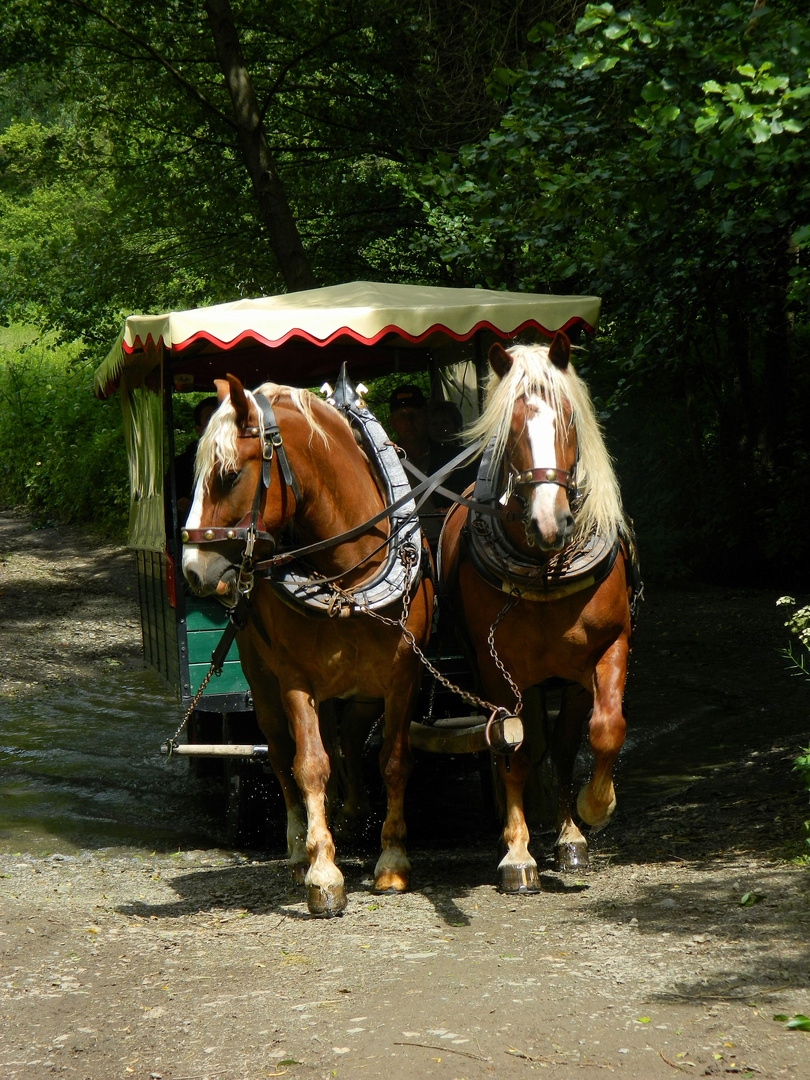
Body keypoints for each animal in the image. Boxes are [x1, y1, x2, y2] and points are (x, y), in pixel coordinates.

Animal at [181, 375, 434, 915]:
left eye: (229, 474)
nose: (192, 569)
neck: (349, 578)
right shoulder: (297, 680)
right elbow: (309, 766)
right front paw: (323, 872)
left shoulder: (402, 673)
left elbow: (394, 760)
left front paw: (392, 860)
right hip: (262, 678)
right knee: (281, 753)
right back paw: (301, 848)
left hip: (360, 691)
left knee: (351, 740)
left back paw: (349, 814)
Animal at [440, 332, 639, 889]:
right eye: (510, 427)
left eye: (568, 417)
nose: (550, 522)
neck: (546, 566)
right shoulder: (499, 670)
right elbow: (517, 749)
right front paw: (517, 852)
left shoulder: (605, 650)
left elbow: (600, 732)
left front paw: (590, 814)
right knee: (512, 746)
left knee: (564, 743)